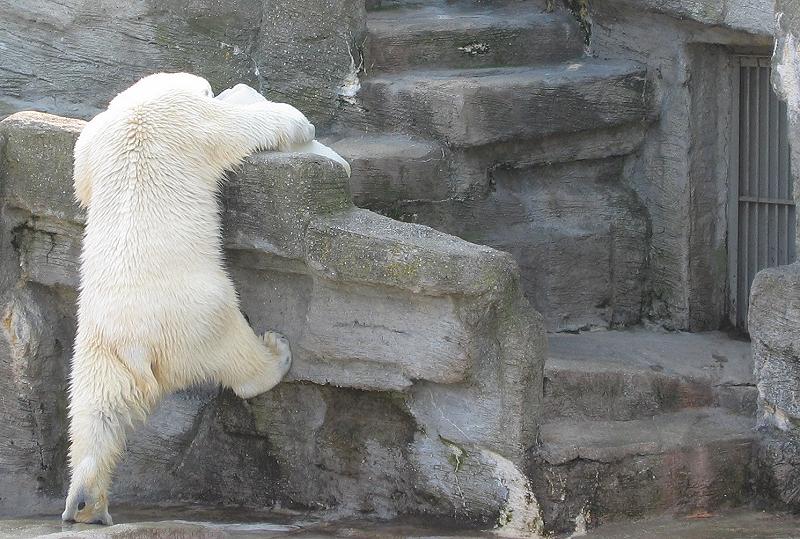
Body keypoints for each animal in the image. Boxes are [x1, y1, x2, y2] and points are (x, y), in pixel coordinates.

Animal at [61, 73, 318, 528]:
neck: (140, 108)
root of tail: (137, 343)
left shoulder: (98, 138)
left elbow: (81, 178)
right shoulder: (189, 122)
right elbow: (239, 128)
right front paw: (296, 120)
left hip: (97, 347)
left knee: (97, 412)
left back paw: (85, 501)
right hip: (199, 315)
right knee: (235, 352)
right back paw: (276, 352)